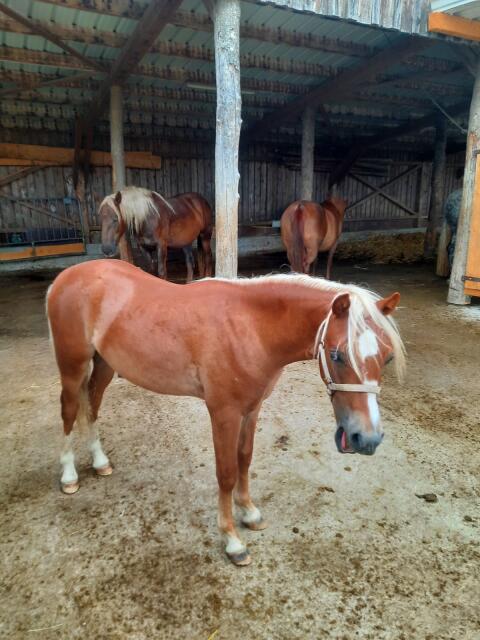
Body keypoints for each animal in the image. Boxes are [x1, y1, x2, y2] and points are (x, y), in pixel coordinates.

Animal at [47, 259, 405, 566]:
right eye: (336, 354)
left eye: (387, 357)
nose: (367, 439)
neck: (251, 328)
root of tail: (64, 278)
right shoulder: (224, 412)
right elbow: (227, 472)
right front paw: (232, 541)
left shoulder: (252, 408)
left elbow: (245, 458)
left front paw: (249, 513)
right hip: (72, 365)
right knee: (69, 412)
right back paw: (69, 476)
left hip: (104, 365)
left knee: (92, 406)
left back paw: (100, 462)